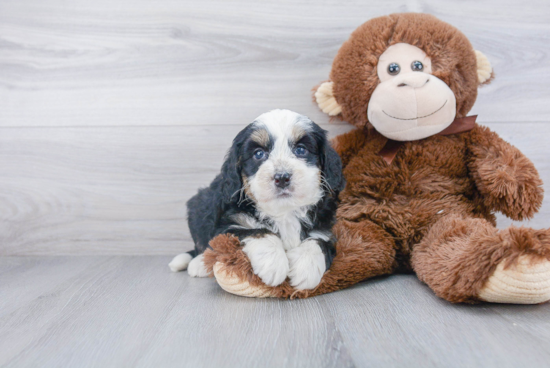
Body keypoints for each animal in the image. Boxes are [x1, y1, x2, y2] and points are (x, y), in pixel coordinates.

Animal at [170, 109, 348, 290]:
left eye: (301, 150)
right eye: (259, 154)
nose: (282, 177)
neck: (284, 211)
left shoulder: (327, 228)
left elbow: (320, 242)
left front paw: (306, 267)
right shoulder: (227, 225)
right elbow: (257, 231)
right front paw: (273, 264)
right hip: (199, 206)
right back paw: (197, 263)